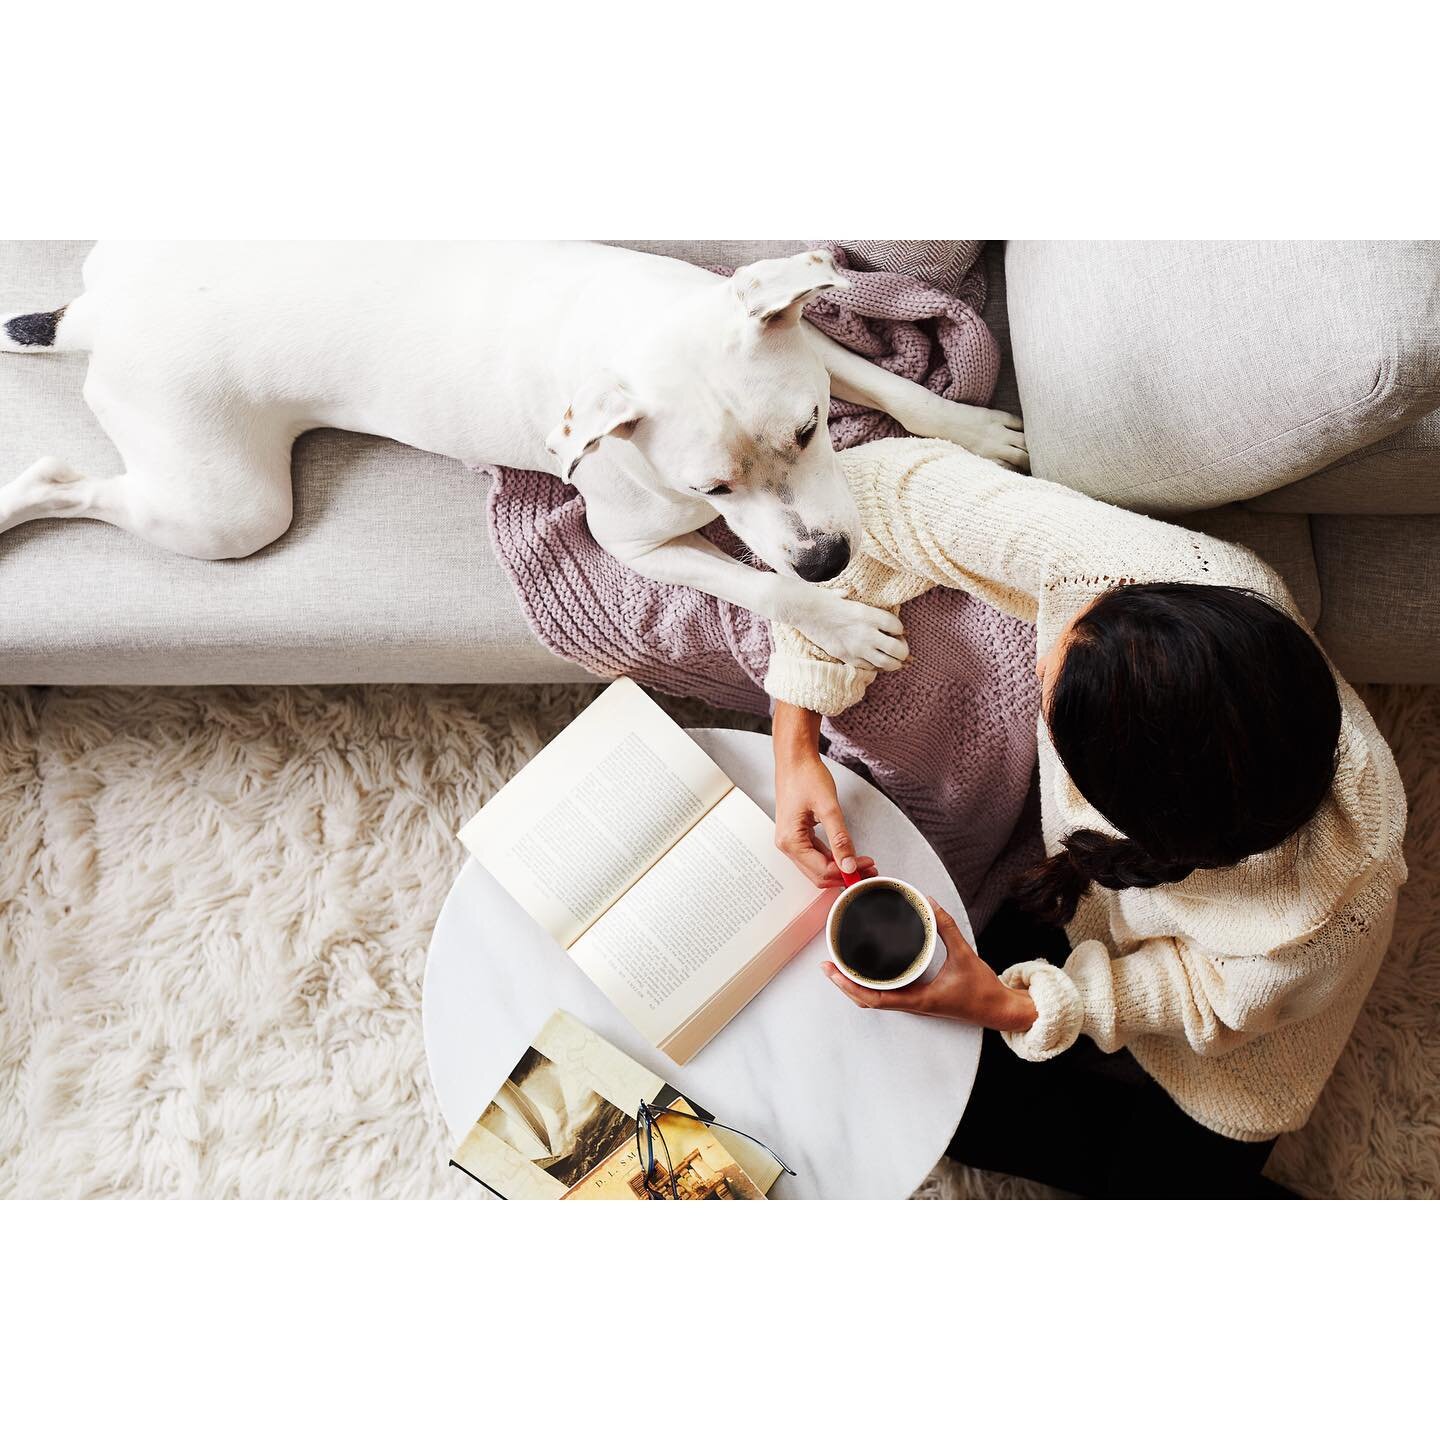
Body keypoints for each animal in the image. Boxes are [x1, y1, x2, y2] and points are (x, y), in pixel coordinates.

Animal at [0, 246, 1025, 668]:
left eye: (810, 429)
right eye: (709, 487)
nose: (828, 559)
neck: (626, 332)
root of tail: (102, 317)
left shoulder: (801, 338)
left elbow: (887, 386)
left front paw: (973, 430)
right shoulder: (635, 547)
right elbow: (757, 585)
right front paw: (839, 623)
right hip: (229, 512)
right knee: (67, 482)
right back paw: (19, 502)